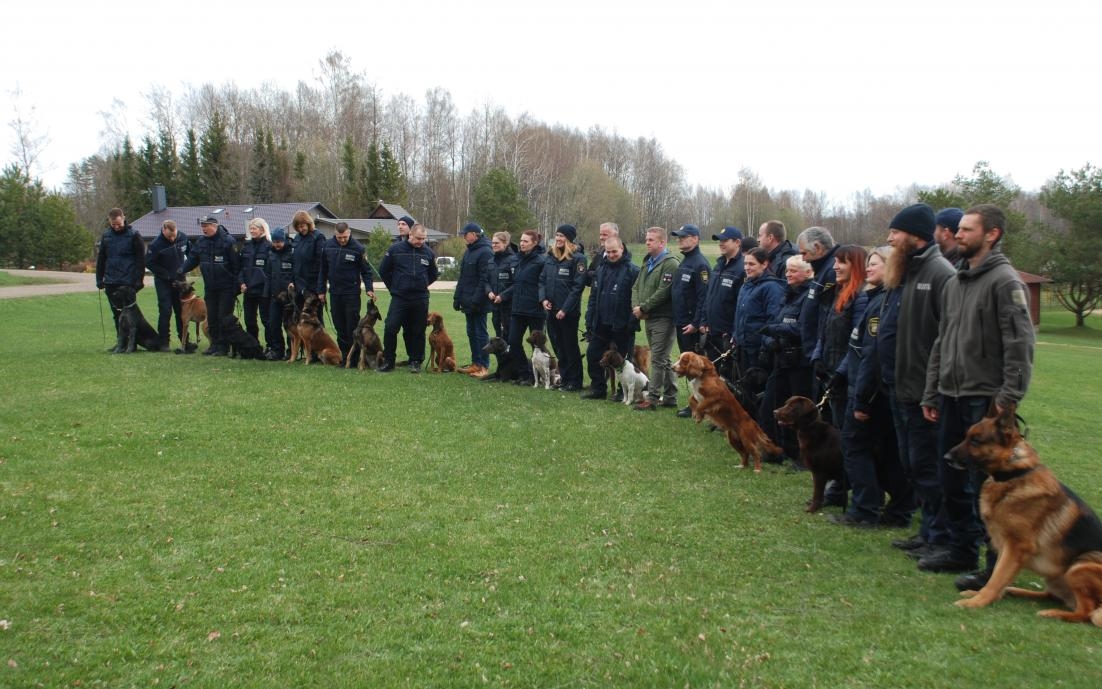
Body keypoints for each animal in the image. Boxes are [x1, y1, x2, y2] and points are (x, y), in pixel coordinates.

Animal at [947, 403, 1102, 621]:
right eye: (967, 436)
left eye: (976, 441)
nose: (946, 458)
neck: (1014, 474)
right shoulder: (1005, 547)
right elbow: (997, 574)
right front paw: (982, 594)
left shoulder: (1015, 547)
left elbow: (996, 578)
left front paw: (976, 602)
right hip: (1056, 577)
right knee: (1051, 596)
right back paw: (1015, 591)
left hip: (1080, 565)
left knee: (1085, 612)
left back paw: (1052, 613)